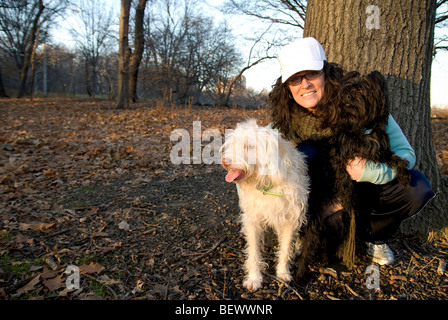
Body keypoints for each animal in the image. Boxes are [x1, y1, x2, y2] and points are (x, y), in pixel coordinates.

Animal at [220, 119, 308, 290]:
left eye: (249, 146)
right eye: (233, 144)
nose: (224, 161)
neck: (267, 184)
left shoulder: (290, 219)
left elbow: (285, 247)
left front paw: (282, 272)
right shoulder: (253, 219)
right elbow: (253, 250)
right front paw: (254, 278)